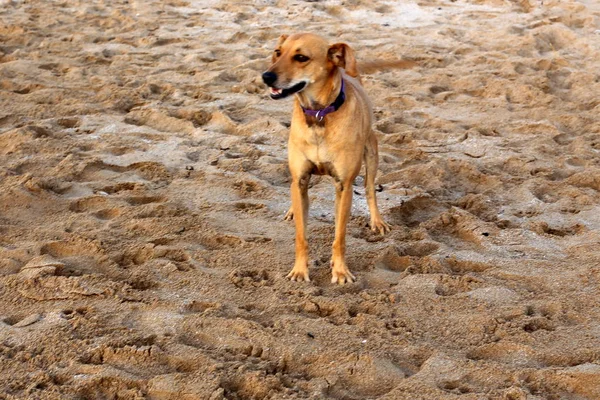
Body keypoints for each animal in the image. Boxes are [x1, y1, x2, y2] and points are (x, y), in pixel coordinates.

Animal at [260, 33, 414, 284]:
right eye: (277, 52)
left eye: (301, 58)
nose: (266, 76)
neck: (319, 115)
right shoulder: (301, 179)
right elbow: (301, 235)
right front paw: (299, 270)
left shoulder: (344, 185)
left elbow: (339, 235)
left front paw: (340, 270)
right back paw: (293, 210)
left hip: (371, 152)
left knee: (370, 189)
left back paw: (377, 221)